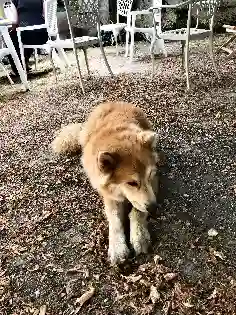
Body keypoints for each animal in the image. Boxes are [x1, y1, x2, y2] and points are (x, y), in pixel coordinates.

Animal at [52, 102, 161, 266]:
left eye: (149, 176)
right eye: (131, 183)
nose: (154, 207)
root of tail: (112, 102)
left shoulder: (154, 182)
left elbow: (137, 211)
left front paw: (139, 235)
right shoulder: (109, 194)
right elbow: (115, 220)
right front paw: (117, 247)